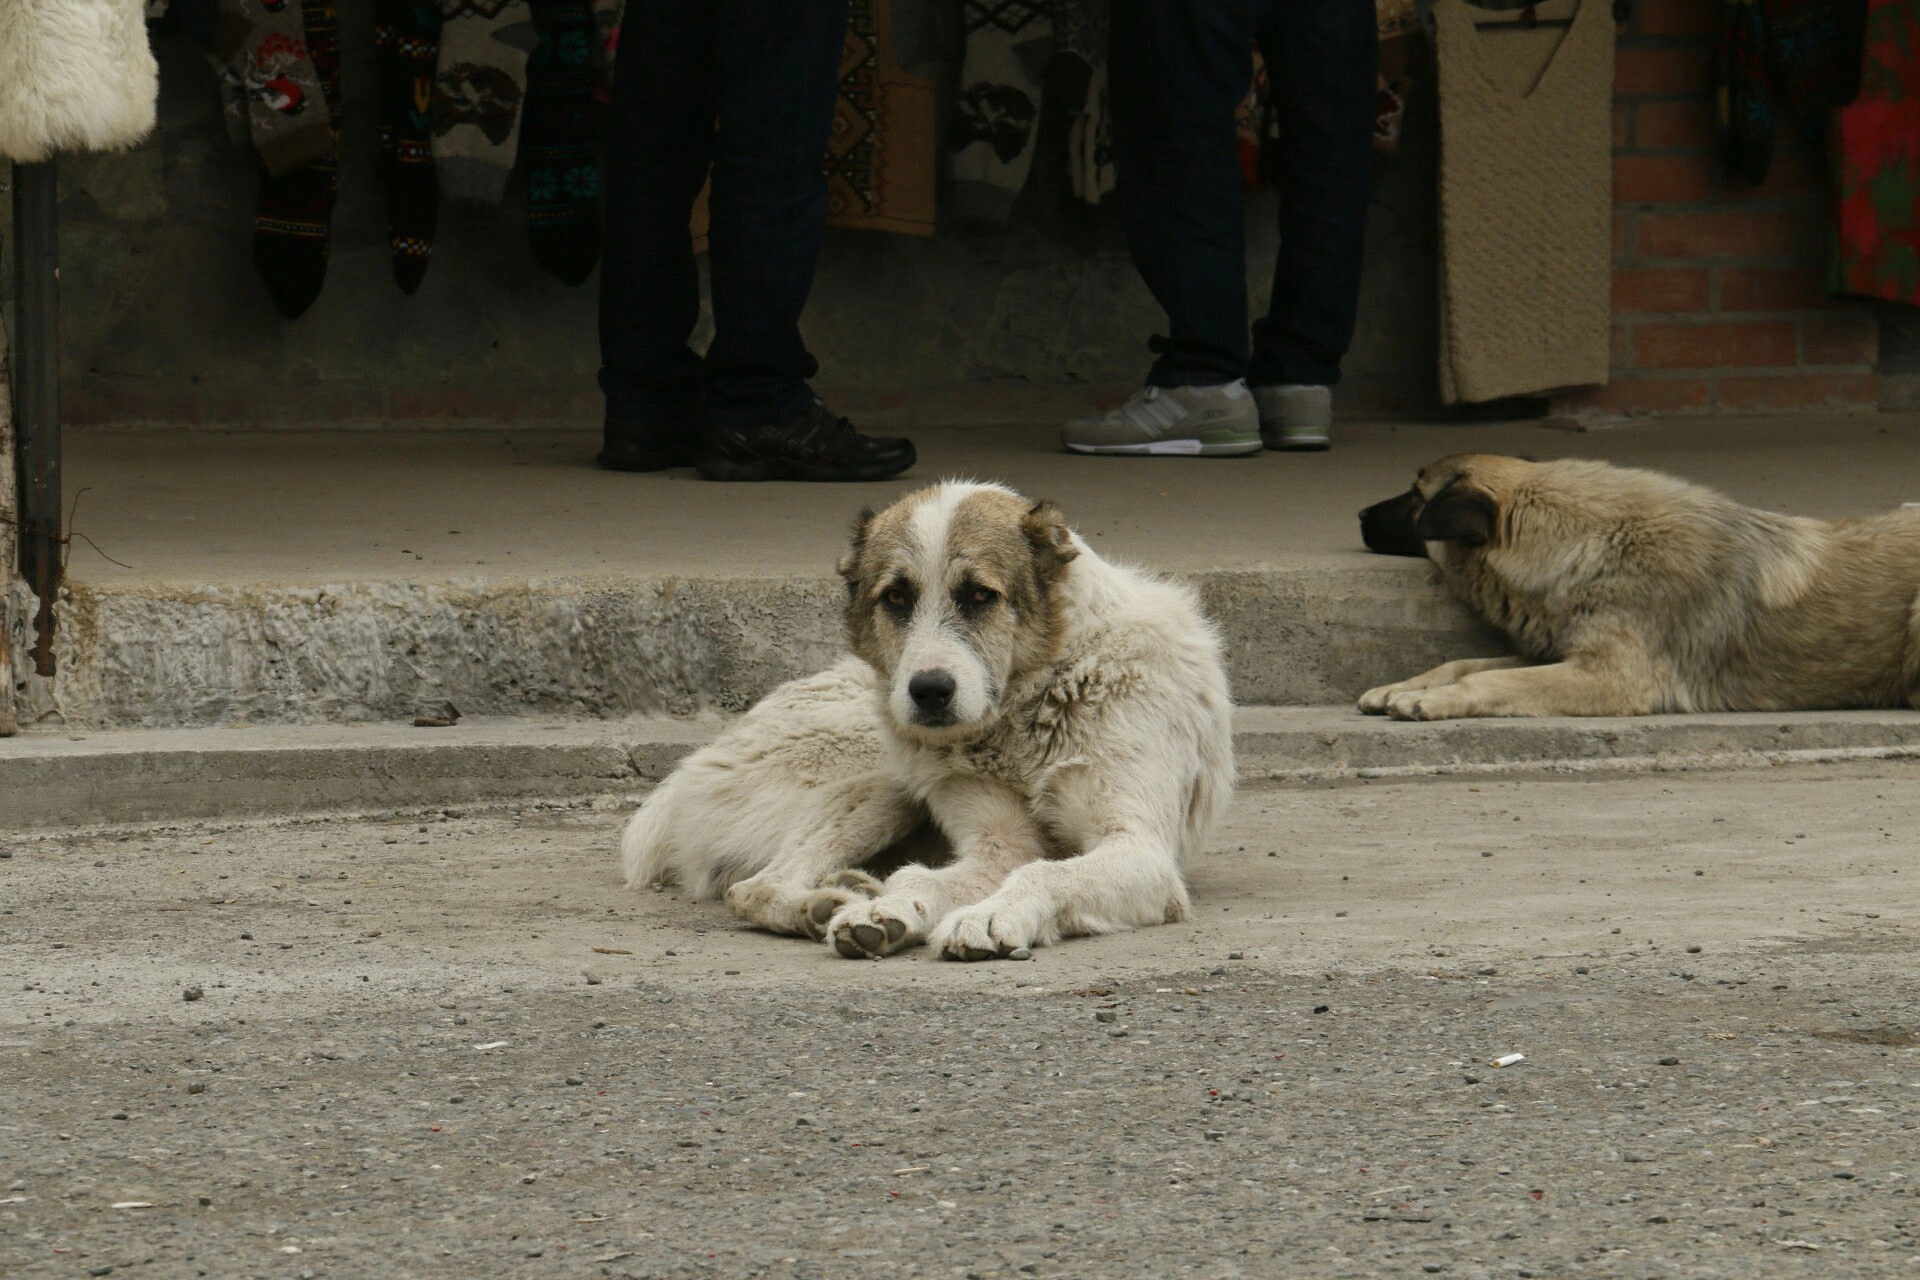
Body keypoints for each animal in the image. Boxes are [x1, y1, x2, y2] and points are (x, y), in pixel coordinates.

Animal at [622, 479, 1236, 959]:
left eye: (979, 596)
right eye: (896, 598)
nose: (929, 691)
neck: (1028, 709)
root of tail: (679, 782)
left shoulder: (1140, 851)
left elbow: (1042, 870)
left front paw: (983, 914)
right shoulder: (997, 846)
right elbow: (929, 877)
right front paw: (887, 910)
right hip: (881, 775)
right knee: (751, 886)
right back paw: (823, 905)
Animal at [1359, 454, 1920, 721]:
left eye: (1416, 496)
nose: (1360, 514)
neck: (1594, 540)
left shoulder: (1607, 676)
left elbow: (1492, 681)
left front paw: (1432, 701)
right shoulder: (1568, 655)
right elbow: (1464, 664)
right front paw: (1406, 685)